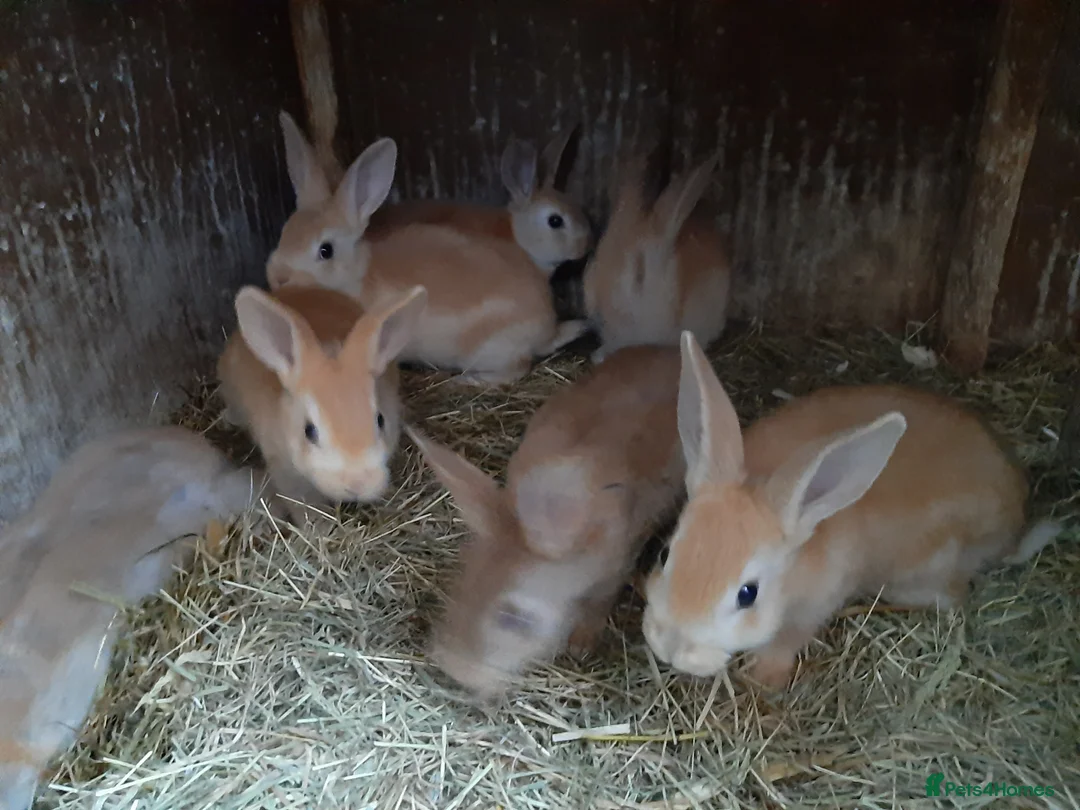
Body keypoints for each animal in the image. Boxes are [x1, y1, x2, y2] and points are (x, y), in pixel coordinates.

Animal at [216, 282, 427, 528]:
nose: (357, 485)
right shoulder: (286, 473)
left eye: (380, 420)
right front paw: (318, 529)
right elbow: (304, 506)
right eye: (309, 431)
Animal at [408, 345, 686, 699]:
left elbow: (599, 603)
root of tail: (670, 351)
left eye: (514, 618)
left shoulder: (618, 564)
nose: (455, 672)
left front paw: (581, 645)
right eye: (463, 582)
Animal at [641, 331, 1064, 690]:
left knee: (955, 595)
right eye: (665, 554)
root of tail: (1014, 522)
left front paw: (764, 679)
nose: (671, 647)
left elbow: (788, 642)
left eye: (748, 594)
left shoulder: (815, 607)